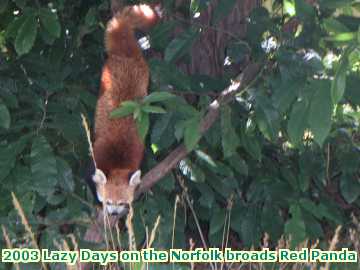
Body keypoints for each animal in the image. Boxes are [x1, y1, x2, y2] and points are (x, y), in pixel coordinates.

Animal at [90, 3, 160, 216]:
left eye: (121, 203)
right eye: (108, 201)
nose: (113, 213)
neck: (118, 162)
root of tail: (126, 54)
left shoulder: (136, 154)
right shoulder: (97, 154)